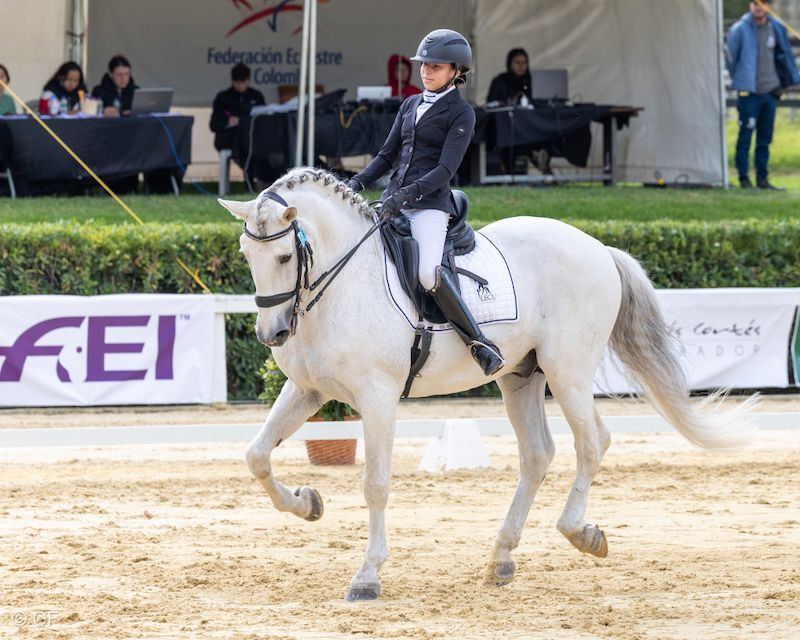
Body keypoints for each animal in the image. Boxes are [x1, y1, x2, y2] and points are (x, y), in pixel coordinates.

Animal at [218, 167, 757, 602]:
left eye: (284, 256)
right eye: (245, 252)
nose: (272, 334)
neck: (341, 285)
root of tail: (597, 248)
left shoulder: (378, 398)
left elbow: (376, 485)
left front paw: (367, 576)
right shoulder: (308, 390)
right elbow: (255, 455)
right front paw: (307, 503)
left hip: (568, 370)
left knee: (592, 442)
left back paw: (580, 533)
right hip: (521, 378)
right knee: (537, 455)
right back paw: (501, 557)